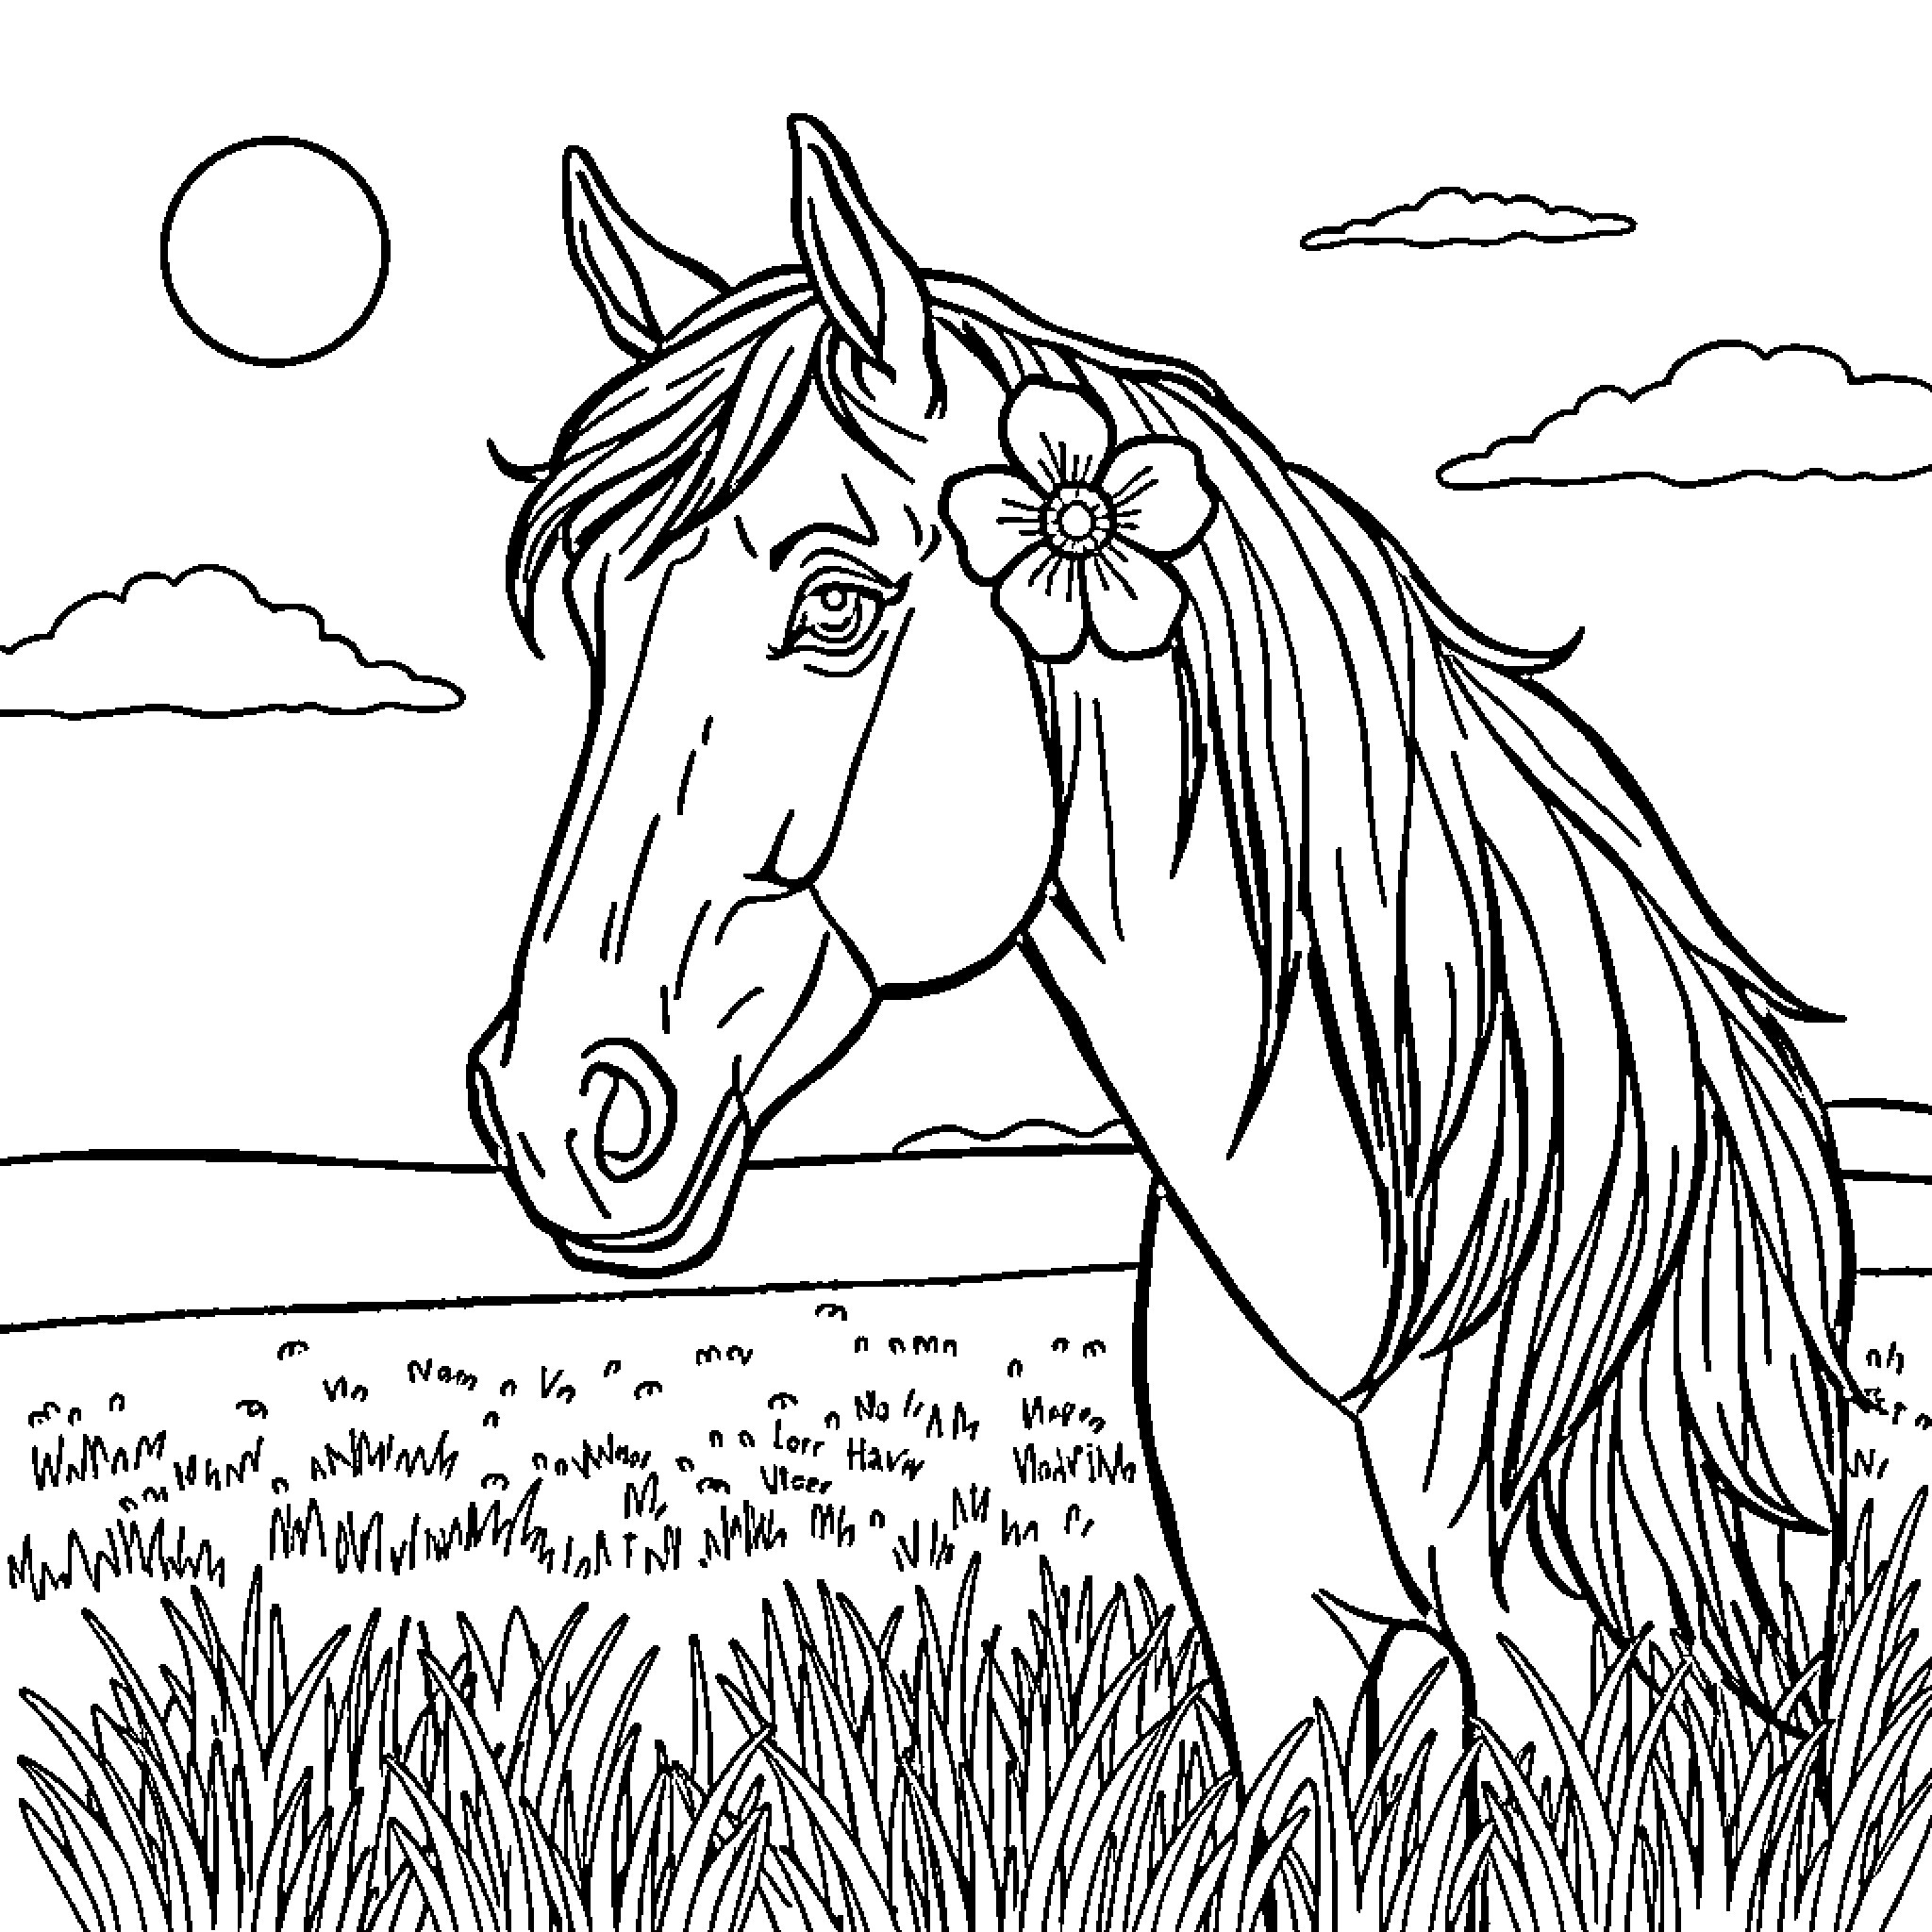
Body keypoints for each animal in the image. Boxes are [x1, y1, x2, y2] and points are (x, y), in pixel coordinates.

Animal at [468, 117, 1859, 1785]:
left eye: (834, 605)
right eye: (601, 630)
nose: (558, 1112)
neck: (1367, 1277)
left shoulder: (1566, 1670)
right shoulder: (1280, 1651)